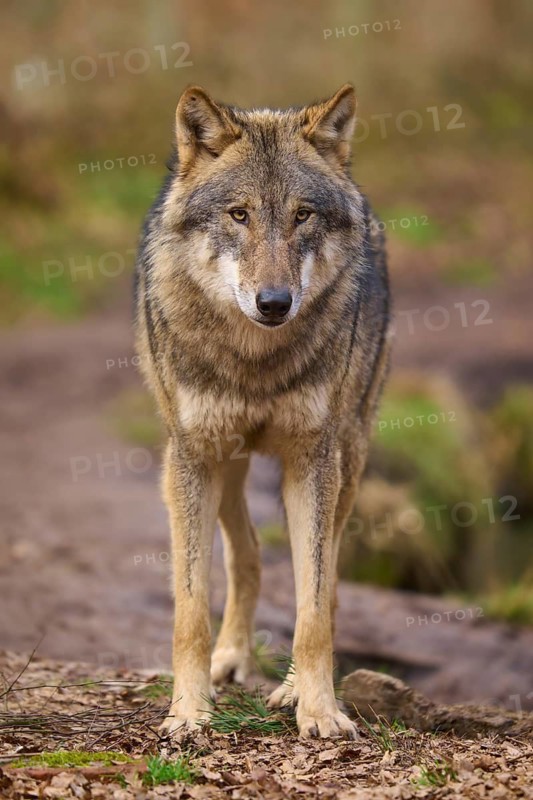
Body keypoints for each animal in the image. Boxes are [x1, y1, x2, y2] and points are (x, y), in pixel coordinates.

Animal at [134, 83, 391, 739]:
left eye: (302, 215)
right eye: (239, 214)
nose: (274, 303)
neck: (255, 359)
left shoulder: (314, 461)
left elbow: (313, 602)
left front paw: (317, 708)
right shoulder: (190, 459)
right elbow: (190, 608)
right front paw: (188, 711)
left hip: (350, 457)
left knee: (325, 579)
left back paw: (290, 687)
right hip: (226, 466)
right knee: (245, 554)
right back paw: (230, 659)